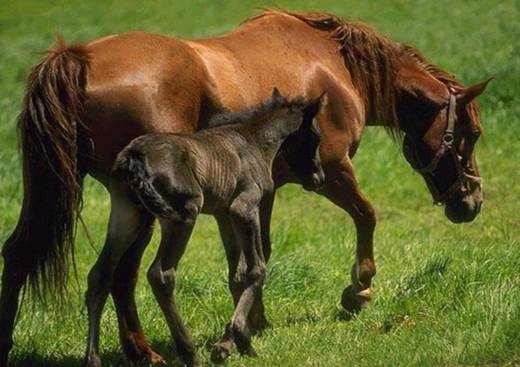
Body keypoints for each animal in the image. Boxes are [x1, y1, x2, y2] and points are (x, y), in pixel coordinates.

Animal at [84, 90, 324, 367]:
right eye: (316, 137)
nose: (319, 178)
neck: (253, 142)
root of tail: (134, 157)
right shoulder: (244, 207)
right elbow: (257, 269)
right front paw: (237, 340)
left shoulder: (224, 214)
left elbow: (237, 274)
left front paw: (232, 342)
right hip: (183, 214)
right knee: (161, 275)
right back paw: (188, 350)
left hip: (127, 215)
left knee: (99, 274)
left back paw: (92, 358)